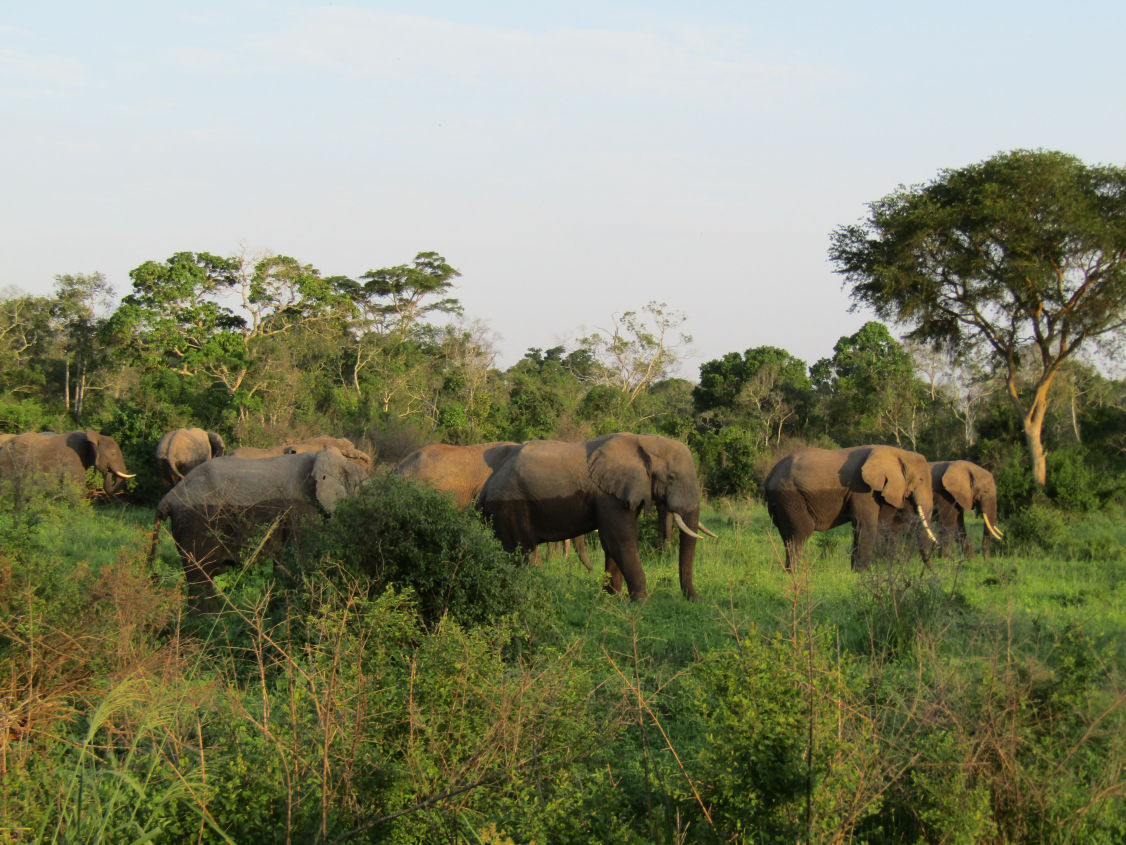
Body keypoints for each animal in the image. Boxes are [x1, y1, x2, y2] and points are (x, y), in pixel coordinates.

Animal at [475, 437, 702, 603]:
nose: (698, 600)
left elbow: (612, 544)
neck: (645, 441)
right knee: (523, 552)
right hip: (508, 506)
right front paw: (640, 603)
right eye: (671, 477)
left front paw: (612, 599)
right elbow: (619, 540)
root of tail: (485, 488)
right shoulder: (608, 497)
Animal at [761, 443, 936, 576]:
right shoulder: (863, 489)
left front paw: (857, 573)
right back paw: (796, 574)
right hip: (790, 496)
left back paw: (788, 572)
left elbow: (885, 526)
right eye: (921, 479)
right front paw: (862, 574)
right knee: (800, 533)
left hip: (781, 502)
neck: (896, 452)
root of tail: (769, 476)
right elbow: (866, 525)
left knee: (787, 535)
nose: (933, 572)